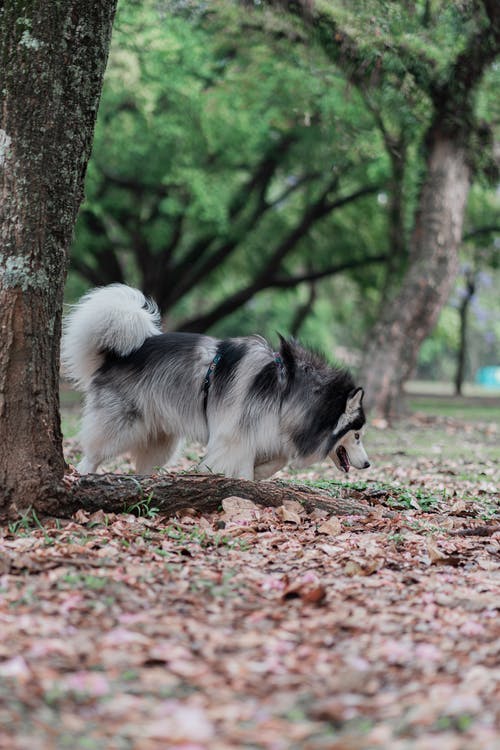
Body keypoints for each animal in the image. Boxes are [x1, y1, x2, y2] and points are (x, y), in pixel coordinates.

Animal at [60, 284, 370, 478]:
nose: (368, 464)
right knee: (92, 455)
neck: (287, 391)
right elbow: (242, 468)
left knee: (145, 466)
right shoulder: (235, 437)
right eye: (356, 435)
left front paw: (260, 473)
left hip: (162, 440)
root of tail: (114, 356)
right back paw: (84, 475)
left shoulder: (268, 434)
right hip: (122, 427)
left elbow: (277, 460)